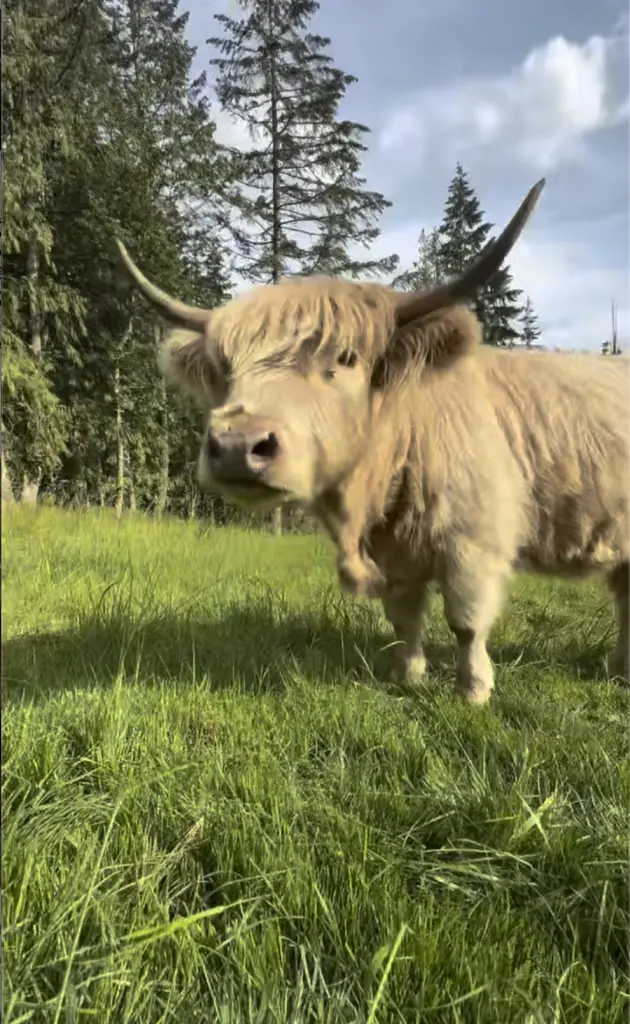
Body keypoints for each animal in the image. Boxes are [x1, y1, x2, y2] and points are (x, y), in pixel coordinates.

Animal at [116, 179, 630, 703]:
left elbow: (466, 622)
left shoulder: (472, 540)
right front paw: (407, 675)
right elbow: (403, 618)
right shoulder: (395, 552)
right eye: (224, 366)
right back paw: (620, 669)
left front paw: (473, 691)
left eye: (344, 358)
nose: (239, 445)